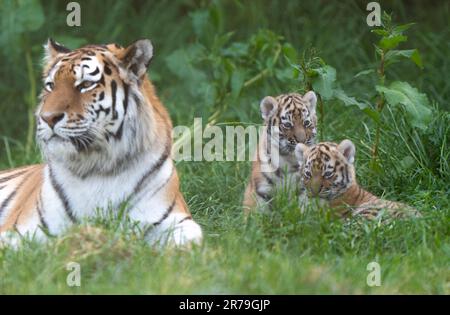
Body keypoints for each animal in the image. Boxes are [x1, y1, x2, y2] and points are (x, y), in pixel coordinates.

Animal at [0, 39, 202, 247]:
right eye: (50, 85)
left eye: (86, 84)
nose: (47, 118)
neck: (96, 165)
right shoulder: (18, 230)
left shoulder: (175, 219)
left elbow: (191, 238)